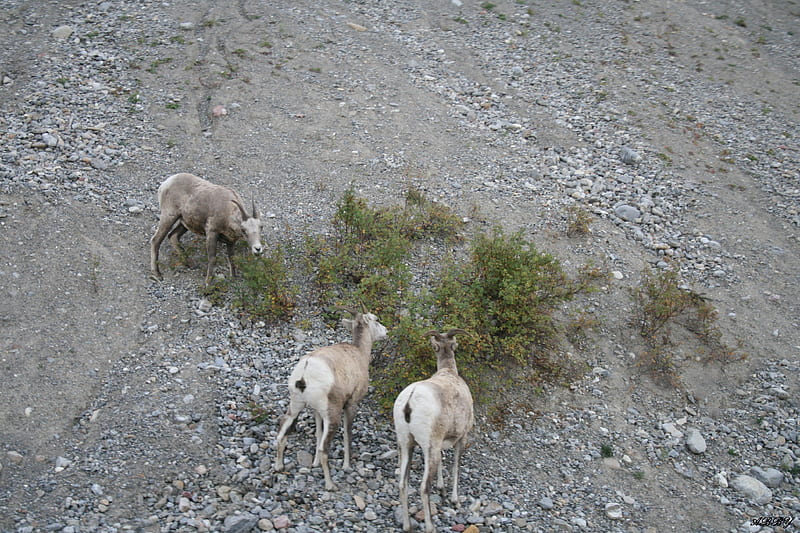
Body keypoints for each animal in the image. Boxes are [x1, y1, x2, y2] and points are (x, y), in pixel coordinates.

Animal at [274, 306, 390, 488]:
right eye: (376, 319)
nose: (386, 331)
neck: (359, 353)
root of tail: (306, 369)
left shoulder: (316, 411)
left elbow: (318, 432)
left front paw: (314, 464)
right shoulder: (351, 405)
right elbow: (347, 434)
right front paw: (347, 466)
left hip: (296, 407)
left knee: (281, 435)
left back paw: (279, 467)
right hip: (332, 416)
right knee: (324, 449)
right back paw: (330, 485)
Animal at [394, 328, 476, 532]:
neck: (449, 373)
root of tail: (409, 402)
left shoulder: (441, 441)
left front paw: (442, 489)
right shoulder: (462, 437)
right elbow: (455, 466)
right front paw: (454, 500)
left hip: (406, 444)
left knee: (402, 484)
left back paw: (407, 526)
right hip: (427, 447)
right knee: (424, 487)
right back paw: (430, 526)